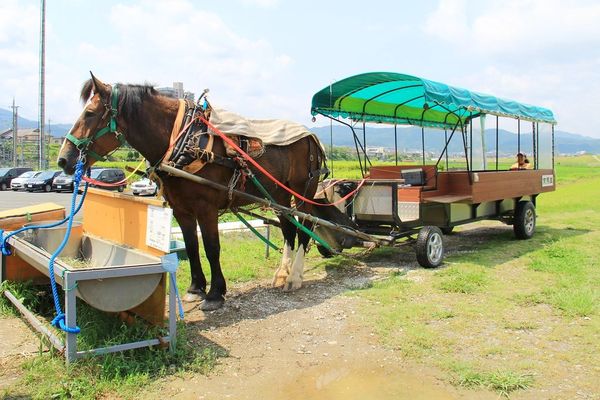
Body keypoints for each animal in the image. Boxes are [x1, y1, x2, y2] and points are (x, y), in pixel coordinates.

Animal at [58, 73, 326, 310]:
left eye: (89, 114)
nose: (63, 160)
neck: (182, 139)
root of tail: (311, 136)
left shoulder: (206, 207)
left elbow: (211, 247)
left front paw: (215, 293)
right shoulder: (181, 209)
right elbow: (191, 245)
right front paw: (196, 288)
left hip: (302, 191)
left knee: (306, 224)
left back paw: (294, 277)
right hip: (278, 195)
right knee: (289, 227)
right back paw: (282, 273)